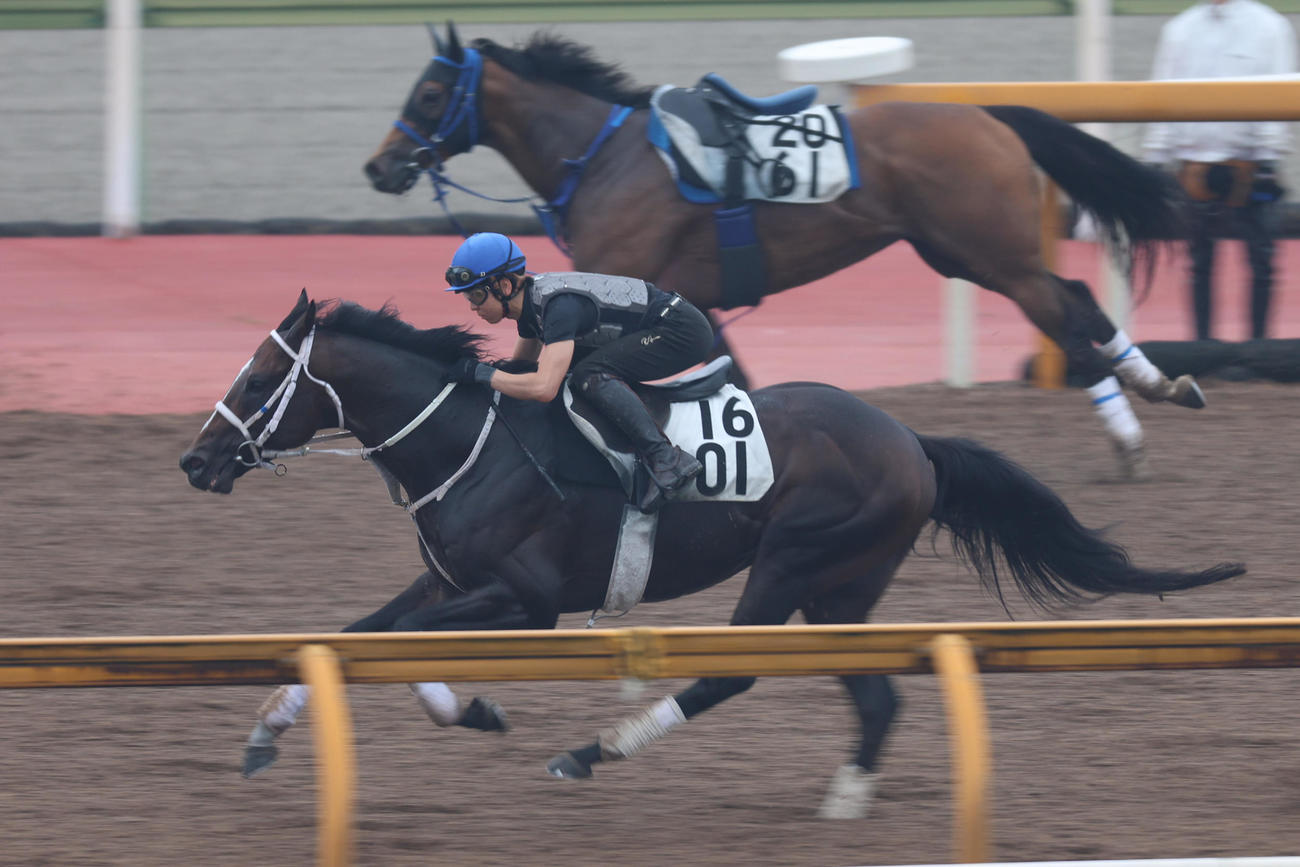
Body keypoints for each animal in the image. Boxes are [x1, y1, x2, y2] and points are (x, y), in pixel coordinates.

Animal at [178, 291, 1244, 816]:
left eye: (263, 376)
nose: (195, 459)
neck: (468, 439)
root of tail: (909, 437)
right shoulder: (446, 580)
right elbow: (356, 636)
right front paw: (270, 732)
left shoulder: (524, 601)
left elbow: (405, 653)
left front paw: (475, 708)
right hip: (840, 589)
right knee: (876, 696)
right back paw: (847, 795)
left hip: (794, 563)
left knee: (733, 670)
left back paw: (593, 751)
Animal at [362, 23, 1207, 481]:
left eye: (430, 95)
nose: (380, 166)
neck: (602, 156)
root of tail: (989, 115)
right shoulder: (691, 298)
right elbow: (732, 377)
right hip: (959, 254)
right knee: (1081, 301)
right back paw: (1163, 385)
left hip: (992, 254)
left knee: (1065, 312)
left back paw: (1133, 433)